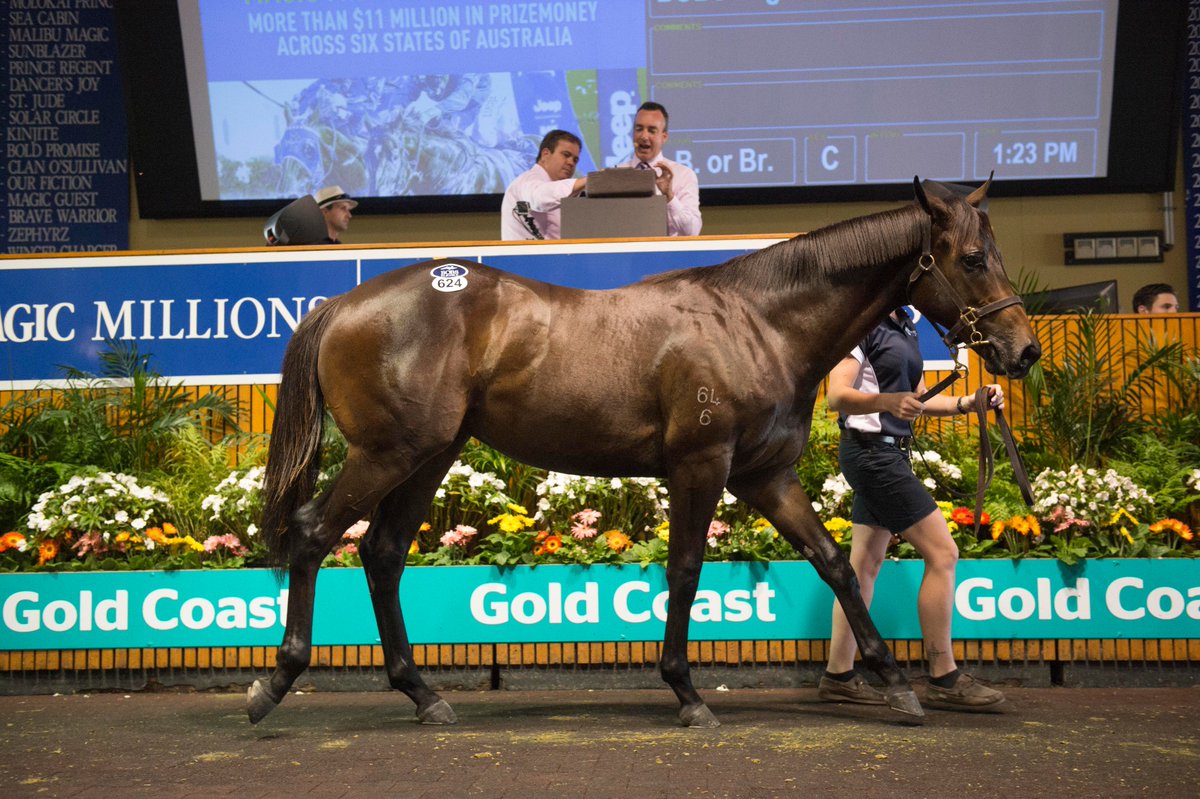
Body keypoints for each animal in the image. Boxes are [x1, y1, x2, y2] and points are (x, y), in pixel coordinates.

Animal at [248, 176, 1041, 728]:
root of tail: (341, 306)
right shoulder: (701, 466)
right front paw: (687, 692)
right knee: (315, 534)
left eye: (998, 255)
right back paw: (274, 683)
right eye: (973, 259)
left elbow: (835, 562)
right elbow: (686, 569)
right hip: (389, 453)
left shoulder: (766, 475)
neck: (757, 323)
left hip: (430, 456)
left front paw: (898, 684)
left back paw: (423, 694)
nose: (1023, 351)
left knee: (381, 553)